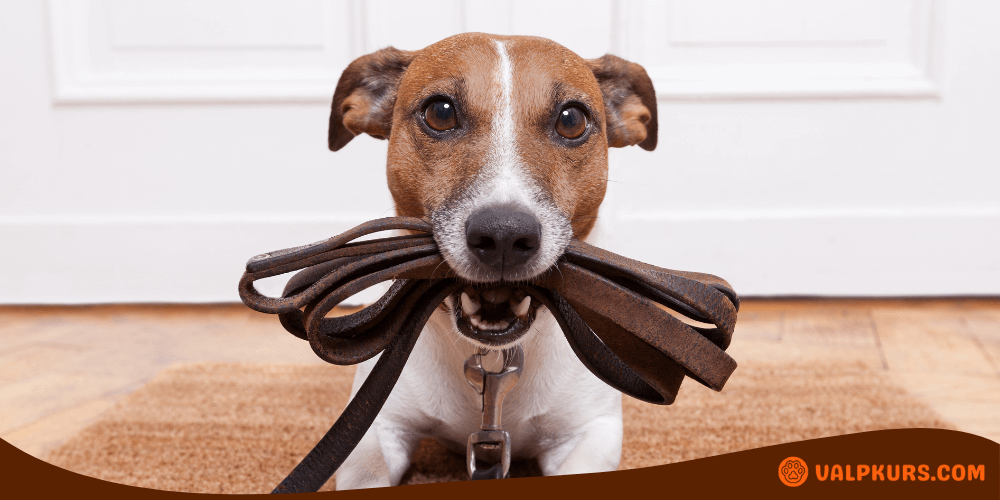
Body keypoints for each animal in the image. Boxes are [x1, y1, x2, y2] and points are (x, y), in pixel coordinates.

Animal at [326, 32, 656, 488]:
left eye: (571, 120)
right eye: (440, 112)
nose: (504, 235)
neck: (493, 358)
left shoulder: (590, 433)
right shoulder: (375, 431)